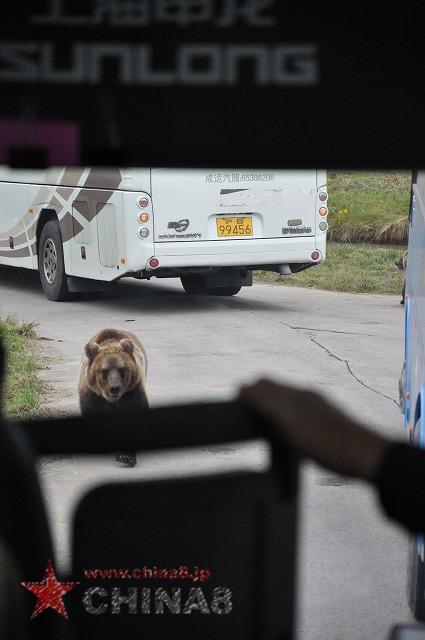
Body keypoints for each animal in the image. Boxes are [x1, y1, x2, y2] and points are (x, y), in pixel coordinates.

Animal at [78, 328, 147, 468]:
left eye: (121, 369)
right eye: (104, 370)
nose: (114, 388)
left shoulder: (131, 393)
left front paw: (126, 456)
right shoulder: (93, 396)